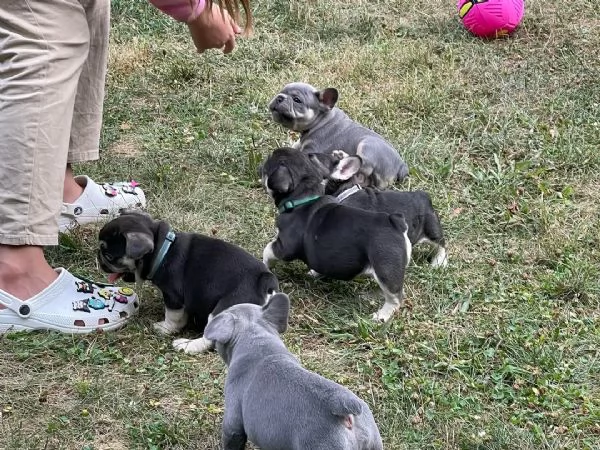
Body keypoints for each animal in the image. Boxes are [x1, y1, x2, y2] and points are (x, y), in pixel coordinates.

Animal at [96, 209, 278, 354]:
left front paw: (165, 328)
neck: (163, 250)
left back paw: (187, 345)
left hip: (223, 309)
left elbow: (173, 317)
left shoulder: (173, 297)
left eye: (110, 256)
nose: (99, 258)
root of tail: (264, 281)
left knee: (210, 339)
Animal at [262, 148, 412, 324]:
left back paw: (381, 315)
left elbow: (268, 250)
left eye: (270, 163)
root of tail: (396, 223)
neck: (304, 197)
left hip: (385, 267)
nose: (270, 153)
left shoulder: (284, 247)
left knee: (395, 297)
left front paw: (265, 264)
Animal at [270, 81, 410, 189]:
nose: (279, 97)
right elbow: (296, 145)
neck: (320, 120)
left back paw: (342, 156)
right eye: (281, 91)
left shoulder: (311, 149)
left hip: (368, 145)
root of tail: (401, 166)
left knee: (364, 165)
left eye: (297, 100)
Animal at [312, 149, 448, 268]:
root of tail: (424, 196)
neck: (346, 190)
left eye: (316, 160)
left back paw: (438, 262)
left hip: (431, 229)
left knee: (441, 244)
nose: (309, 154)